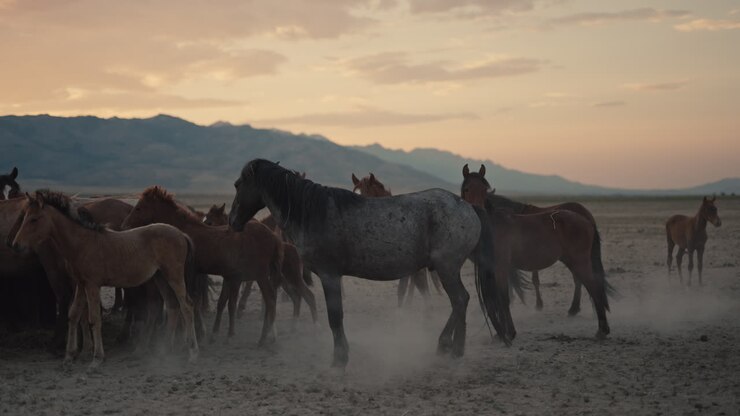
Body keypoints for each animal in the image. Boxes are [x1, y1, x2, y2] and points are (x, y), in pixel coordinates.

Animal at [10, 190, 199, 369]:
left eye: (34, 219)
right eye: (24, 217)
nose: (16, 245)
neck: (82, 243)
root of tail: (181, 234)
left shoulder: (93, 285)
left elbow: (94, 318)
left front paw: (97, 359)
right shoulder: (81, 284)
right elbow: (74, 314)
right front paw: (69, 357)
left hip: (174, 275)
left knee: (187, 305)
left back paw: (192, 353)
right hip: (160, 277)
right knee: (173, 305)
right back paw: (165, 351)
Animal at [122, 186, 316, 345]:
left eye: (139, 207)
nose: (125, 225)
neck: (185, 230)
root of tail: (275, 238)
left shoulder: (195, 273)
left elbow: (195, 300)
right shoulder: (224, 277)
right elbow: (218, 302)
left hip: (262, 275)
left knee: (273, 300)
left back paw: (264, 338)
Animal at [461, 164, 612, 339]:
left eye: (485, 190)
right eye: (466, 189)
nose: (478, 210)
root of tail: (586, 220)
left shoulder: (502, 268)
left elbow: (504, 298)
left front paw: (510, 332)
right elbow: (498, 299)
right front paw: (502, 333)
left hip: (579, 262)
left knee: (594, 288)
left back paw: (601, 329)